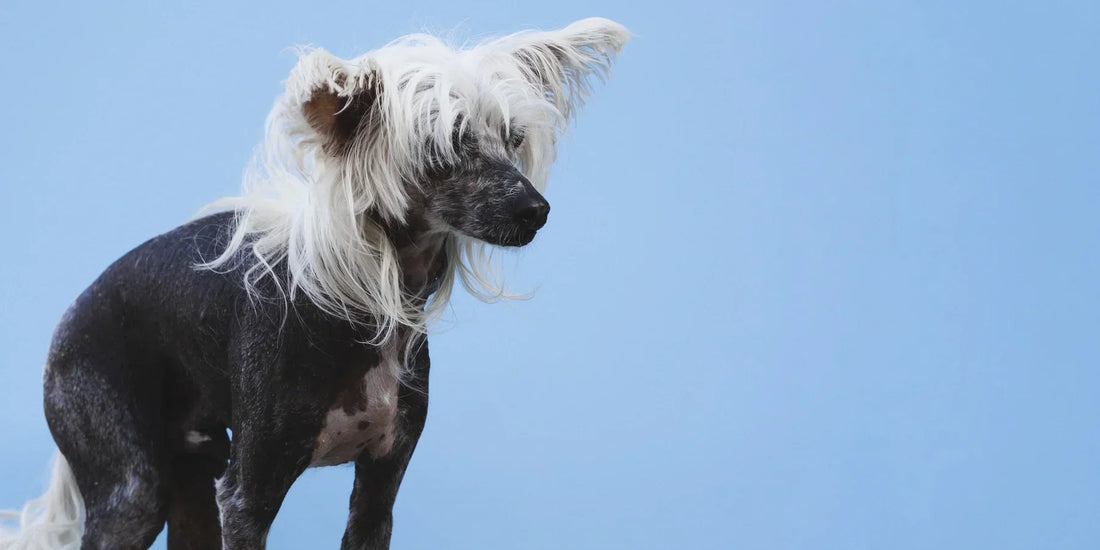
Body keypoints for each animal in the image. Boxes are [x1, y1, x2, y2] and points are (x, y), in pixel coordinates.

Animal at [0, 17, 629, 550]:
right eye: (443, 145)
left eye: (513, 138)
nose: (536, 209)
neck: (368, 307)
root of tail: (73, 311)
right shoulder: (246, 497)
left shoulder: (379, 490)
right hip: (132, 488)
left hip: (194, 479)